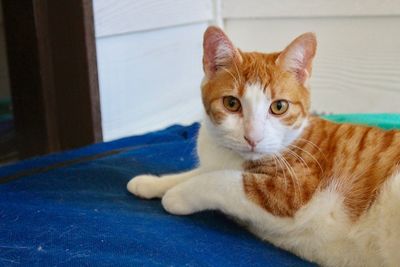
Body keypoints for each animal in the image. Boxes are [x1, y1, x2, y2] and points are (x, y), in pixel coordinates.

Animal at [127, 25, 400, 267]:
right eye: (231, 103)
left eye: (279, 107)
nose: (252, 137)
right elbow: (197, 172)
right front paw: (152, 183)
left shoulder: (293, 190)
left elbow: (222, 180)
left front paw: (177, 196)